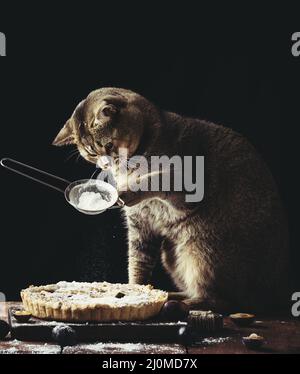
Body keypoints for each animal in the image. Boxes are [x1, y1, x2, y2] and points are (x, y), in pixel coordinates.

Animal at [52, 87, 290, 312]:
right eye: (91, 154)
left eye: (108, 146)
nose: (104, 164)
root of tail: (274, 293)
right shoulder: (140, 225)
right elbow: (137, 263)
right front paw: (135, 291)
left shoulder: (190, 186)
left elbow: (157, 178)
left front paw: (127, 190)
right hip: (172, 254)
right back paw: (170, 295)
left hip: (202, 253)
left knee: (222, 301)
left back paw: (181, 302)